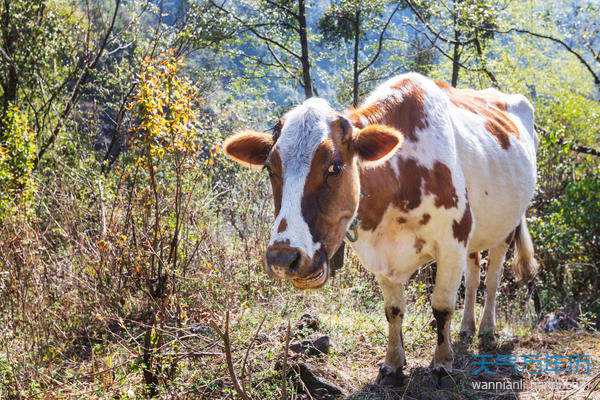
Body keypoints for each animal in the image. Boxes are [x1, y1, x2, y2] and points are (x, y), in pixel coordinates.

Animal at [221, 72, 540, 384]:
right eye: (270, 168)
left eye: (335, 167)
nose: (283, 258)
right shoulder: (379, 255)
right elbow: (393, 311)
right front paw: (393, 363)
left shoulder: (453, 241)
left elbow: (441, 306)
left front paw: (442, 362)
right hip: (477, 232)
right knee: (474, 276)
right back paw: (467, 328)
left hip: (507, 227)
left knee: (492, 279)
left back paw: (486, 330)